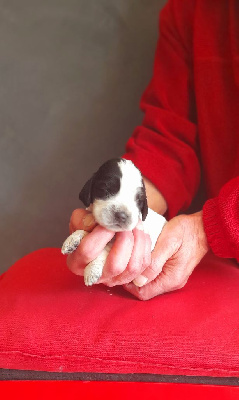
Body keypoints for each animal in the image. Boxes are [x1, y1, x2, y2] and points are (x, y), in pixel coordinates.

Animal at [61, 158, 166, 286]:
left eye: (138, 200)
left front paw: (92, 270)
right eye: (105, 190)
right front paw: (73, 238)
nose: (122, 216)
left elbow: (107, 247)